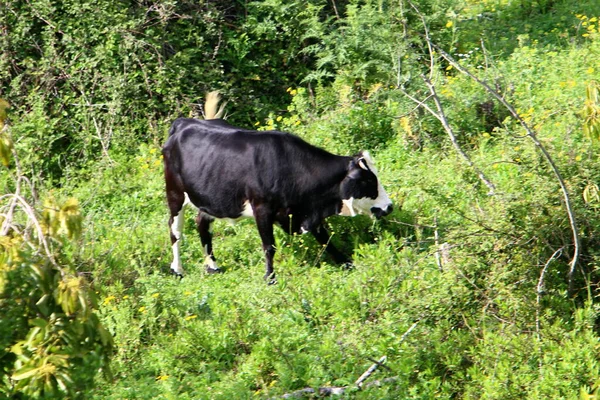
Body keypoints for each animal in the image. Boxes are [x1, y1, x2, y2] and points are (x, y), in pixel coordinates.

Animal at [162, 92, 394, 282]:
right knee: (175, 230)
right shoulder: (262, 208)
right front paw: (270, 277)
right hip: (175, 194)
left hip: (208, 197)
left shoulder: (306, 212)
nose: (389, 206)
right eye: (368, 181)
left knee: (202, 224)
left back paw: (212, 266)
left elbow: (326, 239)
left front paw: (347, 263)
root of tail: (184, 123)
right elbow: (269, 246)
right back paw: (177, 270)